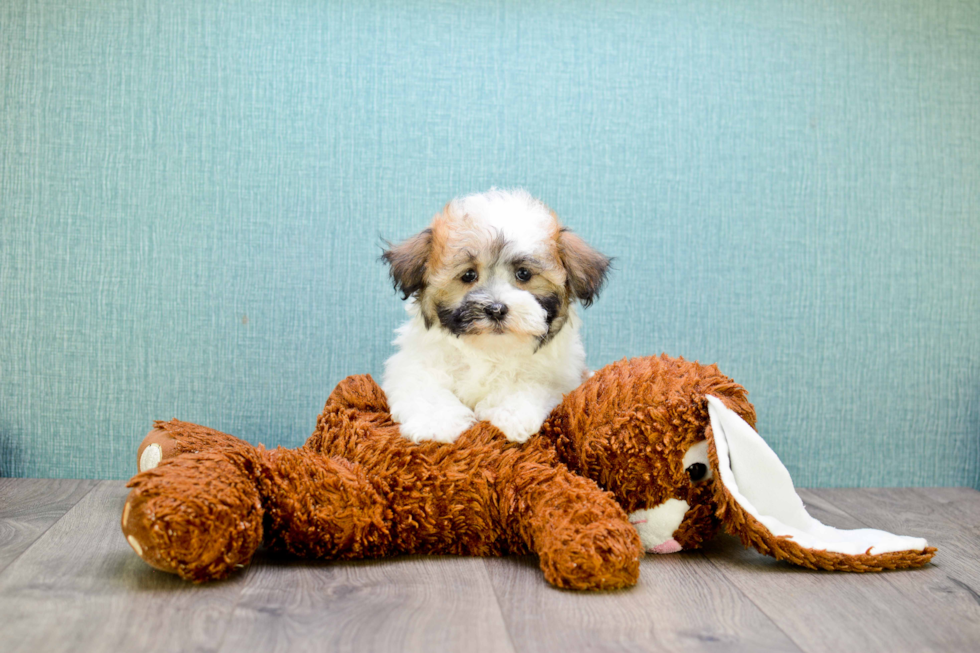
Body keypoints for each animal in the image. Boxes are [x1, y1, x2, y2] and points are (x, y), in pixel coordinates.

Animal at [380, 188, 604, 444]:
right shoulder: (414, 365)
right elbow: (427, 390)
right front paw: (437, 424)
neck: (490, 350)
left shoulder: (558, 376)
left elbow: (529, 384)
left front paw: (510, 415)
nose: (496, 309)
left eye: (524, 273)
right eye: (468, 275)